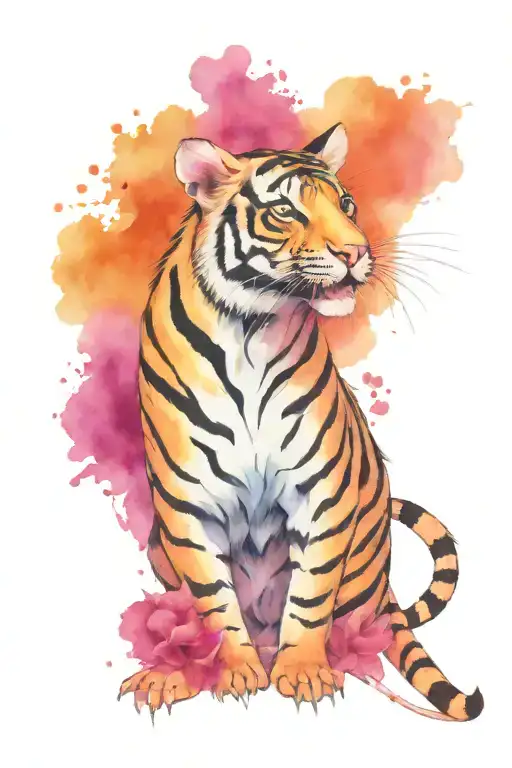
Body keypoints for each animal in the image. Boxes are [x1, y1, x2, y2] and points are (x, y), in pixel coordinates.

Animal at [119, 123, 483, 721]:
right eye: (285, 210)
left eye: (347, 204)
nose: (355, 251)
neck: (249, 331)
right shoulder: (186, 501)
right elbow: (214, 599)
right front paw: (235, 671)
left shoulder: (323, 491)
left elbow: (310, 595)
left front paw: (305, 673)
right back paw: (170, 674)